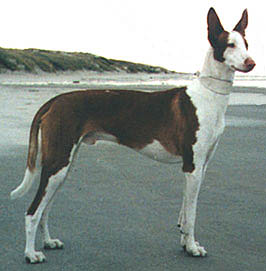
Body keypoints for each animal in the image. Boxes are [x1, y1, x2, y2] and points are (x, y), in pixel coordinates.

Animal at [10, 7, 256, 264]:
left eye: (246, 44)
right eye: (229, 45)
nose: (251, 63)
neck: (208, 97)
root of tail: (54, 101)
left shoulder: (200, 167)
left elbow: (184, 213)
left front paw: (186, 243)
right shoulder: (192, 167)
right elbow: (191, 215)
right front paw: (191, 248)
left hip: (63, 167)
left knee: (45, 209)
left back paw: (48, 242)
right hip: (57, 163)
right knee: (32, 211)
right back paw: (30, 254)